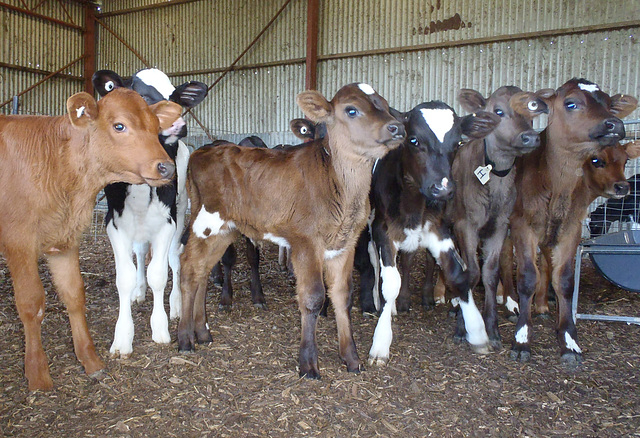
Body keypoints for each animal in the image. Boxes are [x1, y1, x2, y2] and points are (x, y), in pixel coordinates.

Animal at [0, 89, 181, 390]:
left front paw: (90, 360)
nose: (166, 167)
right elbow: (31, 302)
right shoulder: (18, 241)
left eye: (157, 127)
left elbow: (74, 294)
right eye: (119, 125)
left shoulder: (64, 240)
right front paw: (37, 372)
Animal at [92, 68, 206, 356]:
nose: (177, 124)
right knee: (141, 252)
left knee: (174, 258)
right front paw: (122, 337)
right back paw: (139, 291)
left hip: (181, 207)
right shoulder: (114, 224)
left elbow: (159, 273)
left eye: (175, 98)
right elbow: (125, 277)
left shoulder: (167, 222)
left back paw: (175, 304)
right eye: (142, 97)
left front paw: (160, 328)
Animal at [176, 84, 404, 378]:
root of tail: (201, 152)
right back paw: (184, 339)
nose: (396, 127)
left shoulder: (345, 243)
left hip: (224, 230)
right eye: (351, 110)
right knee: (188, 267)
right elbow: (313, 297)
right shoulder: (305, 241)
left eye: (384, 105)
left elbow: (343, 295)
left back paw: (202, 333)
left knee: (202, 270)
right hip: (205, 221)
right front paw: (308, 364)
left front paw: (351, 359)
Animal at [356, 101, 500, 364]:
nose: (442, 189)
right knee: (375, 262)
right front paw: (380, 343)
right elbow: (389, 282)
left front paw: (476, 330)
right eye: (413, 140)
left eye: (458, 143)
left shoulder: (439, 230)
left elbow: (458, 275)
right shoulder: (383, 230)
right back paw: (379, 303)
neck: (413, 204)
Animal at [508, 78, 636, 362]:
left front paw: (568, 340)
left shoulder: (570, 229)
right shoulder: (523, 225)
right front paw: (522, 338)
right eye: (571, 103)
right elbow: (527, 277)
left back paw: (542, 306)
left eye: (609, 102)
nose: (615, 124)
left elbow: (564, 280)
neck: (557, 188)